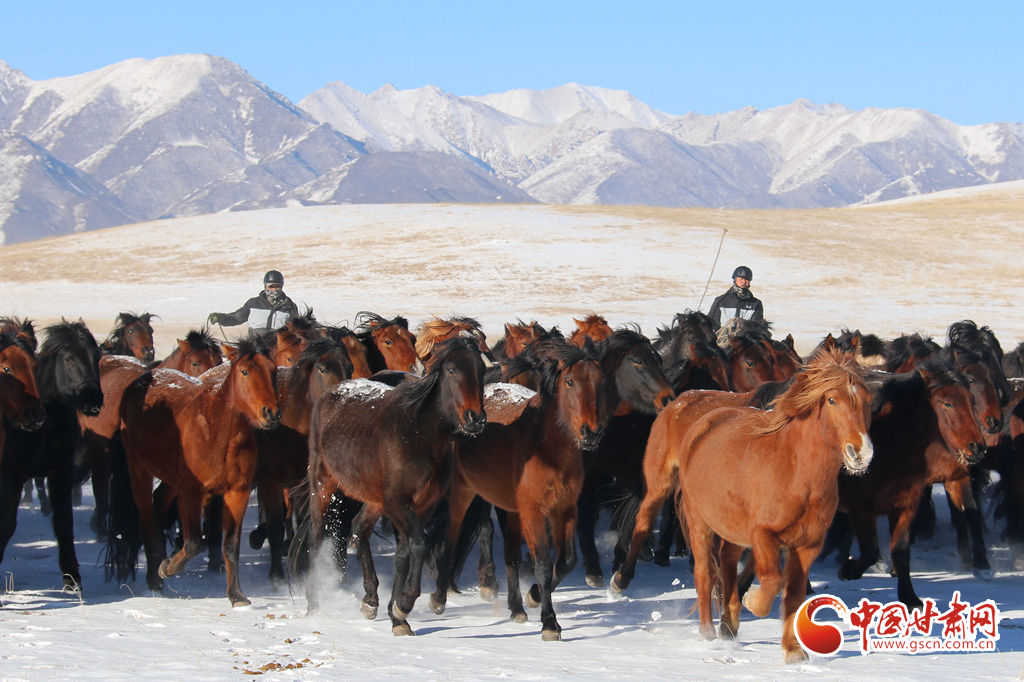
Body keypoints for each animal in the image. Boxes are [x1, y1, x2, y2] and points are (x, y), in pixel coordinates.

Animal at [0, 319, 102, 589]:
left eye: (97, 356)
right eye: (68, 358)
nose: (92, 400)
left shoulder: (60, 472)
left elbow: (64, 522)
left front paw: (72, 577)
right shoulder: (11, 477)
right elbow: (7, 523)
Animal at [106, 337, 280, 602]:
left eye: (273, 370)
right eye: (245, 371)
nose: (270, 413)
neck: (219, 432)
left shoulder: (237, 491)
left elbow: (231, 545)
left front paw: (236, 596)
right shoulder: (191, 491)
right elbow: (194, 543)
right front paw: (167, 568)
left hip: (170, 479)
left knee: (158, 506)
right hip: (139, 471)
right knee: (147, 521)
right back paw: (155, 579)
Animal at [303, 337, 487, 634]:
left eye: (481, 370)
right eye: (451, 370)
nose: (475, 419)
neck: (418, 436)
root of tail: (330, 393)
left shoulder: (421, 504)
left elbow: (405, 553)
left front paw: (397, 615)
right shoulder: (398, 503)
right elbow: (419, 546)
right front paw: (405, 604)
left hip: (375, 499)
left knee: (360, 528)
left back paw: (370, 600)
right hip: (323, 485)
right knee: (316, 536)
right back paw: (313, 605)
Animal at [428, 342, 602, 638]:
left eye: (599, 382)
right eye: (570, 382)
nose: (591, 433)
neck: (546, 448)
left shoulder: (564, 509)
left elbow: (566, 561)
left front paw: (533, 596)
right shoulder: (533, 511)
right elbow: (542, 564)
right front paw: (549, 622)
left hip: (509, 509)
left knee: (510, 554)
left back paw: (517, 608)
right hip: (463, 493)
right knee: (451, 538)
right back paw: (439, 598)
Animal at [614, 346, 872, 659]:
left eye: (868, 400)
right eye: (832, 400)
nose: (861, 453)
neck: (797, 473)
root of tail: (682, 401)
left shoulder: (809, 544)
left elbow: (794, 594)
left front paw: (793, 650)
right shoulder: (762, 535)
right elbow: (772, 580)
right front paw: (752, 602)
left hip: (729, 523)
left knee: (725, 560)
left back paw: (728, 623)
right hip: (683, 506)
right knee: (696, 565)